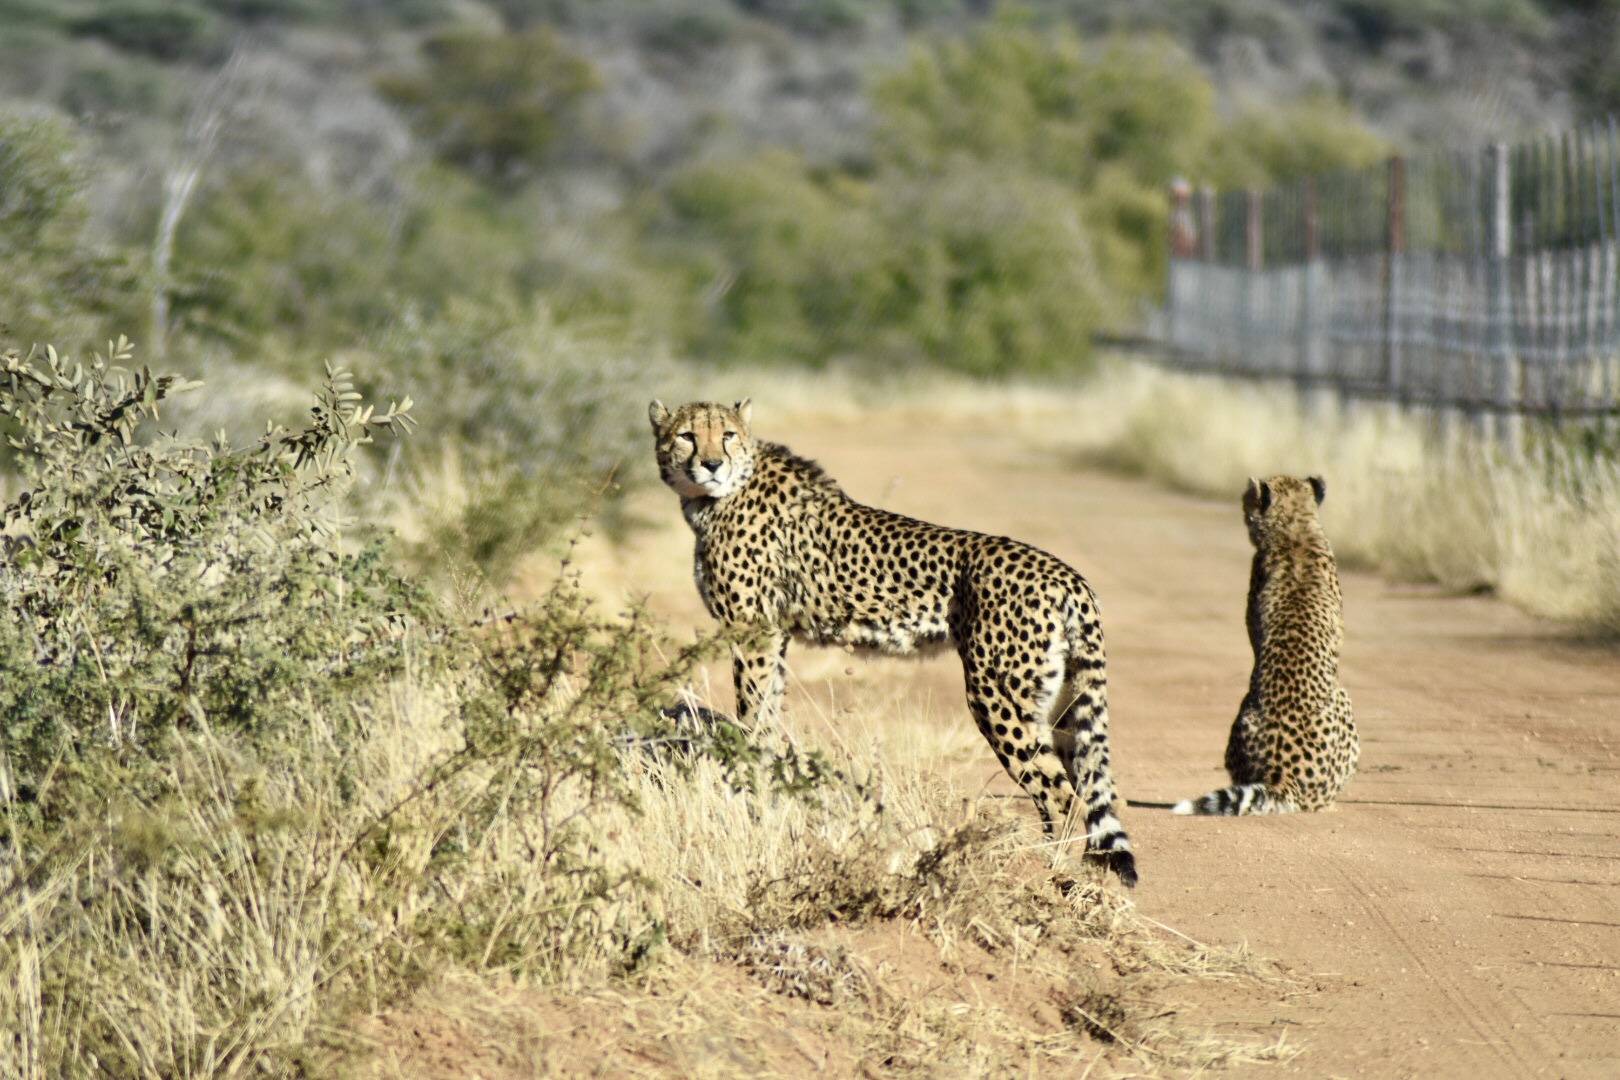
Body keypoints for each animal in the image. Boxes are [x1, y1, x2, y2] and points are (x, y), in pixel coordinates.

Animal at [648, 399, 1140, 887]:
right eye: (687, 435)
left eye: (727, 435)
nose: (712, 464)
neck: (719, 494)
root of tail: (1069, 575)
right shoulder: (774, 635)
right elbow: (767, 714)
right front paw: (766, 795)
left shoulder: (753, 631)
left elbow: (752, 716)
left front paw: (746, 788)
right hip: (1061, 701)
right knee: (1088, 783)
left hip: (997, 695)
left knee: (1062, 791)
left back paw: (1048, 867)